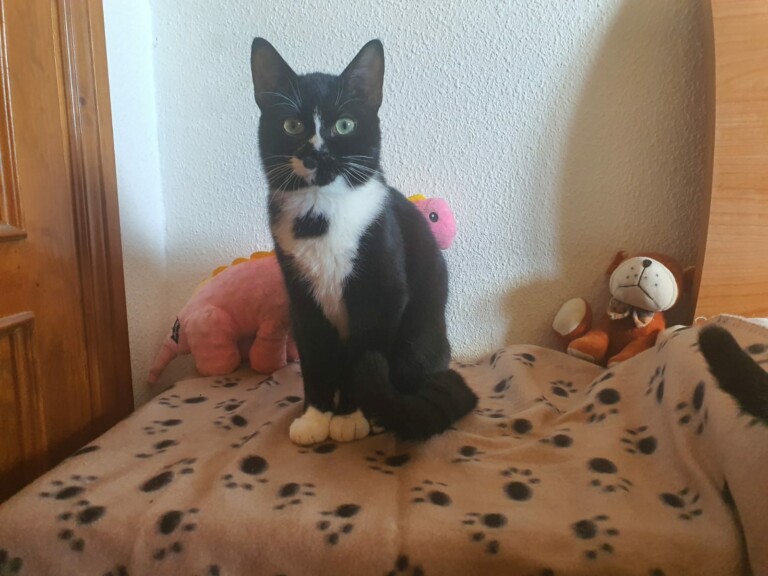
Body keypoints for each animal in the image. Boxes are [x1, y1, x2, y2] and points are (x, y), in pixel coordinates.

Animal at [249, 38, 478, 445]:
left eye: (345, 125)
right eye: (292, 125)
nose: (316, 154)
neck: (321, 213)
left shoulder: (382, 289)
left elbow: (364, 350)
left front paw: (349, 418)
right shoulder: (300, 296)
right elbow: (314, 355)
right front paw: (315, 417)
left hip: (419, 335)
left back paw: (385, 414)